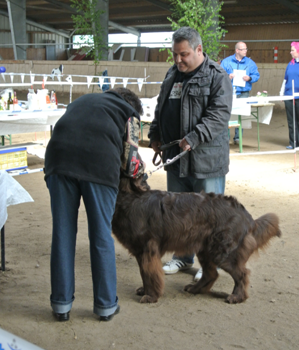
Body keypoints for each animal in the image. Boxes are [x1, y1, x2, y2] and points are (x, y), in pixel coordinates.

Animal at [112, 175, 282, 304]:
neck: (130, 198)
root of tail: (247, 216)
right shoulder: (141, 251)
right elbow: (144, 273)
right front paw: (144, 290)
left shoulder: (147, 249)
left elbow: (150, 274)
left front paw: (151, 296)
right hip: (206, 250)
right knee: (211, 274)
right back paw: (195, 289)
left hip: (223, 252)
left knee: (242, 274)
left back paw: (237, 297)